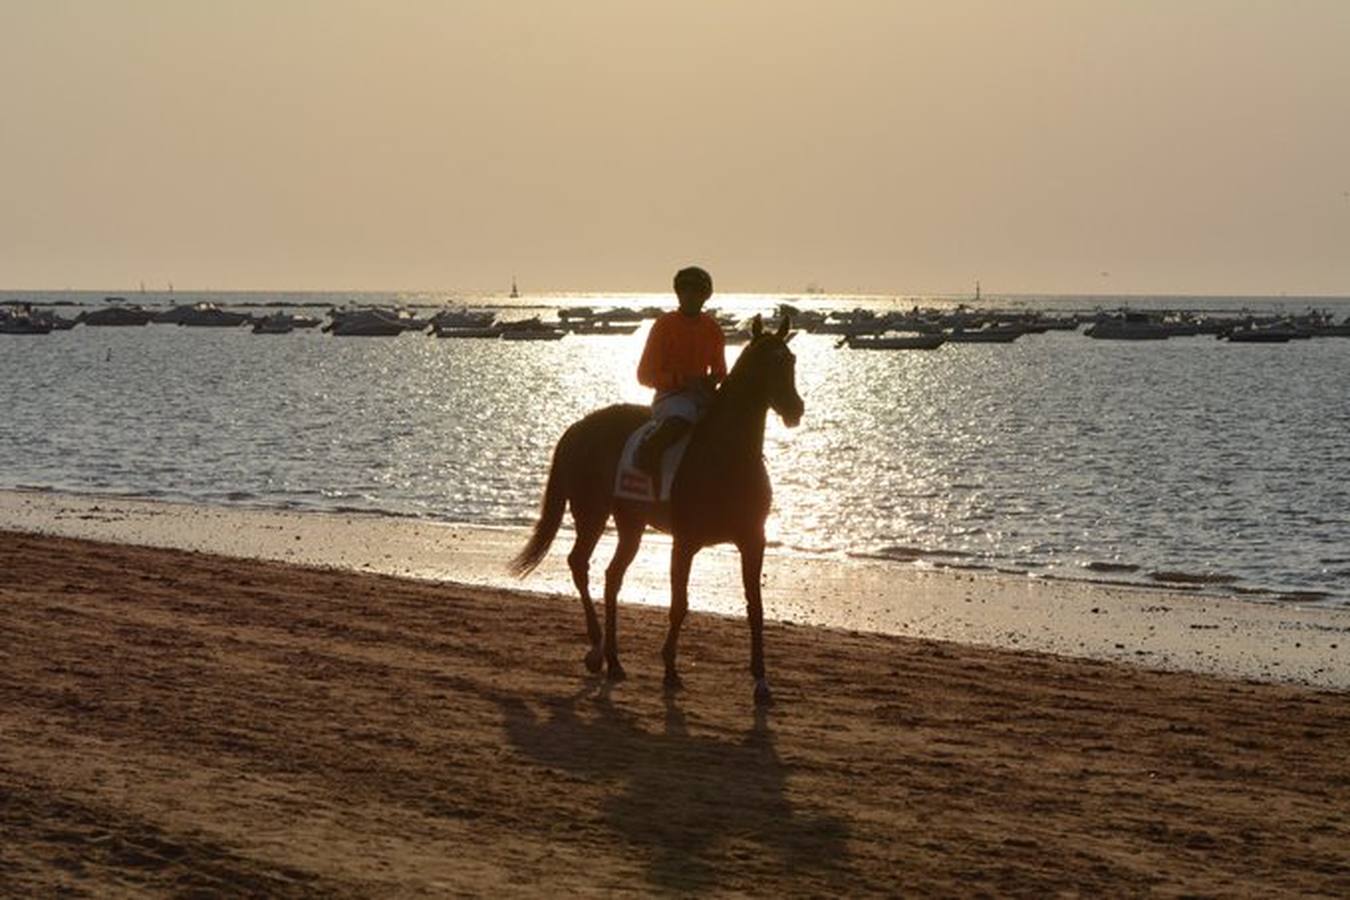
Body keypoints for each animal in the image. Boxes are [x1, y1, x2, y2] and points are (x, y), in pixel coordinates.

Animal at [507, 315, 799, 701]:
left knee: (612, 576)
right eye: (766, 364)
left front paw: (761, 681)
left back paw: (614, 660)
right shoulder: (685, 542)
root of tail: (579, 426)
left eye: (791, 360)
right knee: (579, 563)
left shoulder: (753, 540)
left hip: (630, 524)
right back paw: (597, 650)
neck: (727, 455)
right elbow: (679, 605)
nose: (796, 409)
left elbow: (756, 607)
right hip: (592, 512)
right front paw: (671, 670)